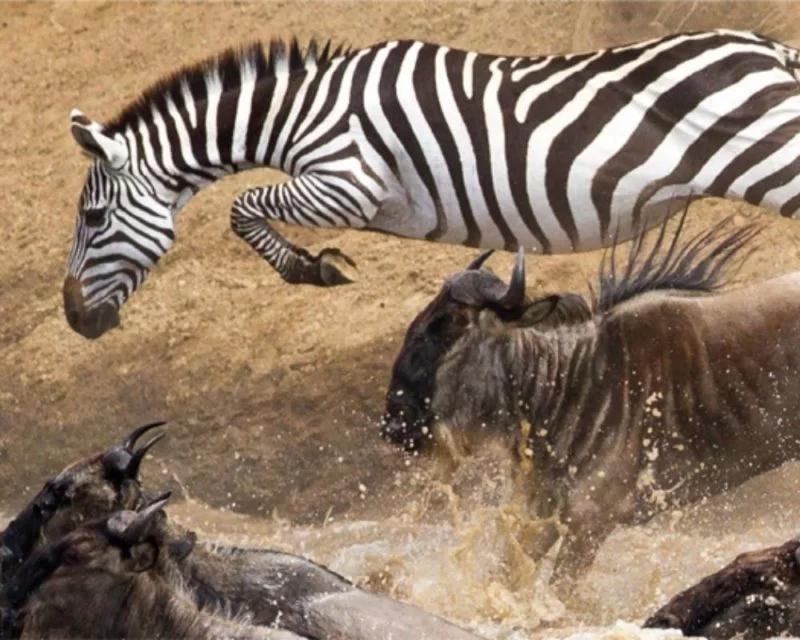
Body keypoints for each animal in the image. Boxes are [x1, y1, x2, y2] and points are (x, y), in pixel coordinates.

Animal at [65, 30, 800, 338]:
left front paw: (311, 268)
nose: (74, 319)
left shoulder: (348, 180)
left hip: (775, 161)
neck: (301, 110)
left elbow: (244, 205)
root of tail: (768, 48)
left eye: (94, 220)